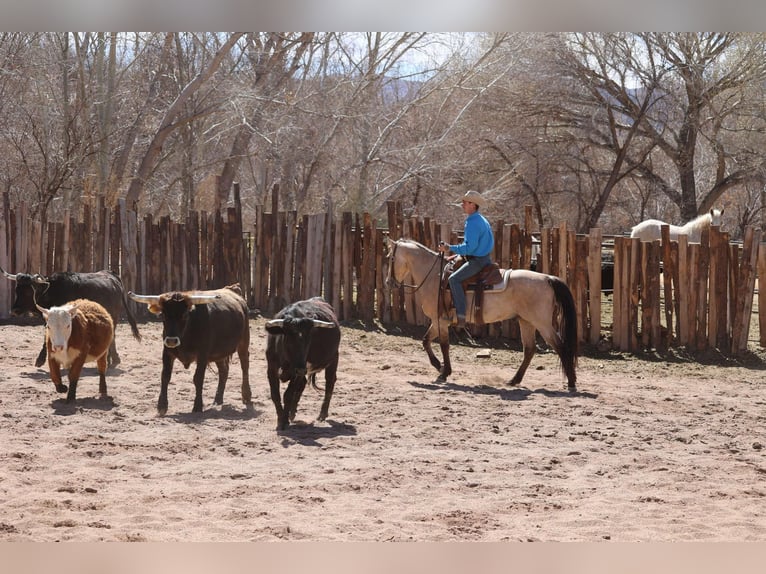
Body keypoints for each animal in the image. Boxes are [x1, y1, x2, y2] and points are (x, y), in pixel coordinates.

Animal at [385, 237, 578, 391]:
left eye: (390, 258)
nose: (388, 282)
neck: (435, 277)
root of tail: (547, 278)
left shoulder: (441, 320)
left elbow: (444, 345)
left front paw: (443, 371)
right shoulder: (437, 321)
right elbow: (426, 340)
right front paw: (439, 366)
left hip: (542, 324)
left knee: (560, 346)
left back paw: (571, 382)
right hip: (526, 322)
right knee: (529, 350)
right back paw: (514, 380)